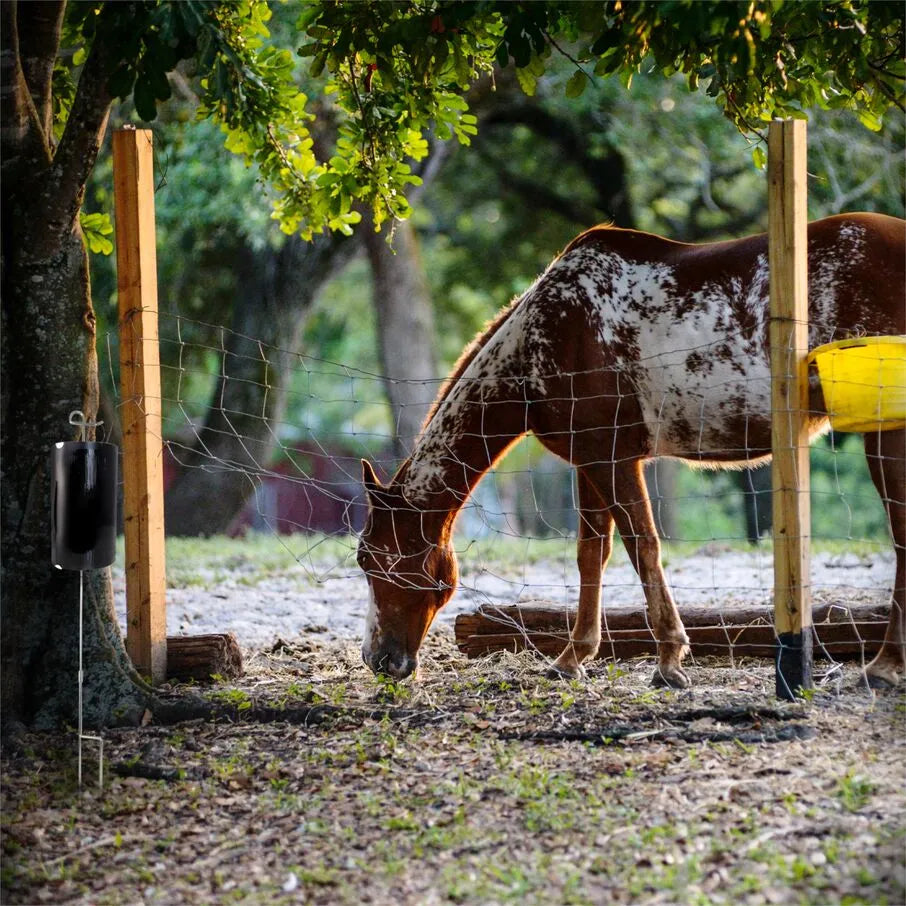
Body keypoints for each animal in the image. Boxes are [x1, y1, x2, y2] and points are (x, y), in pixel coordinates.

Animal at [356, 214, 900, 684]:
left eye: (371, 561)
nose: (378, 659)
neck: (542, 339)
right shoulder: (589, 460)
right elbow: (591, 554)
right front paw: (573, 657)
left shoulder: (613, 458)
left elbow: (643, 547)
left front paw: (669, 658)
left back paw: (884, 664)